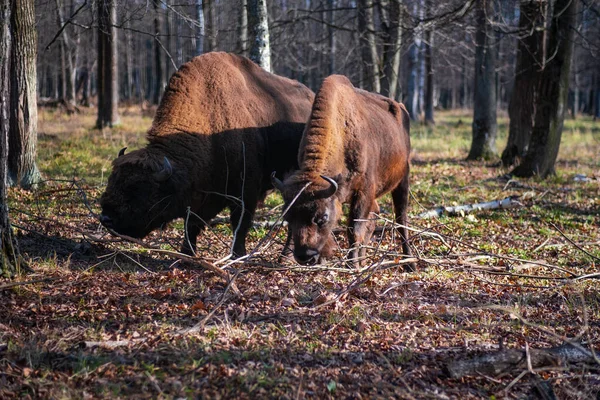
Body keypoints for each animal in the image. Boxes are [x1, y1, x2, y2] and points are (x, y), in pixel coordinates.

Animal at [99, 51, 314, 256]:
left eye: (138, 189)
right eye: (112, 180)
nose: (105, 218)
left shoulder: (245, 191)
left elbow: (240, 224)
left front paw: (237, 255)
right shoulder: (202, 195)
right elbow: (191, 224)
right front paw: (187, 253)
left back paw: (285, 256)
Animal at [272, 74, 412, 266]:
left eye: (322, 217)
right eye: (288, 217)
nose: (305, 256)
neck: (342, 137)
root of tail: (402, 108)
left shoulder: (363, 192)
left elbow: (354, 230)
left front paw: (351, 265)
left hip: (402, 180)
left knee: (400, 219)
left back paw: (409, 263)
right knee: (375, 215)